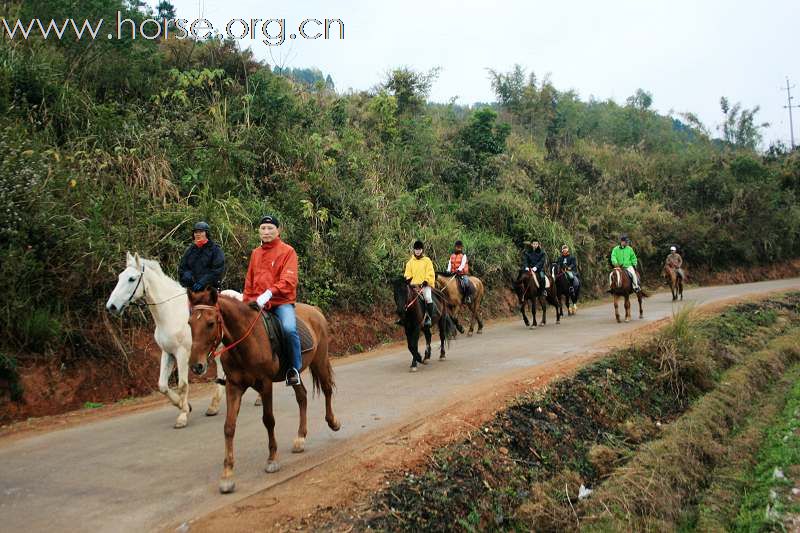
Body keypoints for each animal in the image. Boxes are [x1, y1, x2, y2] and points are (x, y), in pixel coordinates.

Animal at [104, 250, 225, 428]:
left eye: (131, 279)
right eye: (120, 277)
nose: (111, 306)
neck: (170, 312)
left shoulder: (182, 354)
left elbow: (183, 385)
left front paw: (182, 415)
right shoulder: (167, 353)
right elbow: (162, 385)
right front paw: (184, 406)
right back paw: (213, 407)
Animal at [186, 288, 340, 492]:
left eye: (211, 323)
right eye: (190, 323)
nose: (196, 366)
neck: (245, 342)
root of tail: (315, 311)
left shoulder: (265, 384)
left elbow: (269, 420)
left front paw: (272, 459)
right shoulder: (233, 386)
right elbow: (229, 426)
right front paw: (227, 474)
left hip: (320, 361)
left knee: (327, 389)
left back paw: (333, 422)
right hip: (295, 372)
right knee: (302, 397)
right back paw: (300, 438)